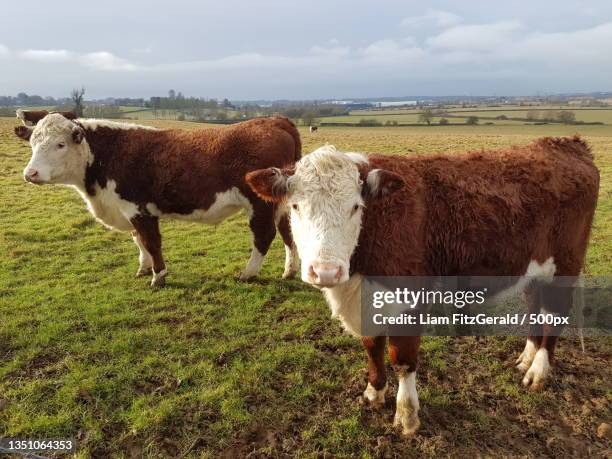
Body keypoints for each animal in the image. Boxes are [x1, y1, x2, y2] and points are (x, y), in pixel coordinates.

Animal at [14, 114, 302, 288]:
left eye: (60, 144)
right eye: (33, 143)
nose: (30, 173)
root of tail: (274, 120)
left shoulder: (138, 209)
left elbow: (151, 242)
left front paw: (158, 276)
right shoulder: (128, 210)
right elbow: (138, 240)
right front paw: (144, 268)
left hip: (259, 204)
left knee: (264, 235)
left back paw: (248, 273)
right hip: (279, 201)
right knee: (287, 232)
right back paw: (289, 270)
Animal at [246, 139, 600, 434]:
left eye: (355, 207)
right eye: (295, 206)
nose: (326, 271)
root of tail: (566, 144)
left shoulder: (408, 301)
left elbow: (402, 360)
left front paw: (406, 416)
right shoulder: (367, 300)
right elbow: (372, 347)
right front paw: (374, 392)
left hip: (565, 266)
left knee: (554, 314)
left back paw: (538, 370)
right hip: (533, 268)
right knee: (533, 304)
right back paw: (527, 357)